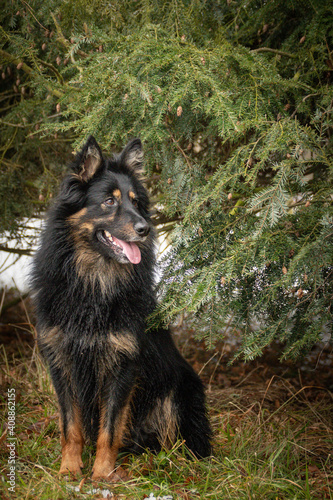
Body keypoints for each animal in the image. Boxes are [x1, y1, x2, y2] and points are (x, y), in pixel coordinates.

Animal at [29, 137, 209, 480]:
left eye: (136, 203)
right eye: (110, 202)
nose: (145, 229)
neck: (94, 285)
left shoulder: (122, 366)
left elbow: (109, 429)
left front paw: (101, 474)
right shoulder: (62, 363)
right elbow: (70, 426)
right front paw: (69, 469)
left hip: (179, 392)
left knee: (178, 443)